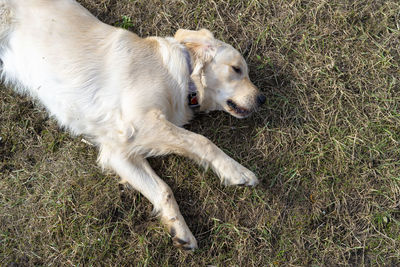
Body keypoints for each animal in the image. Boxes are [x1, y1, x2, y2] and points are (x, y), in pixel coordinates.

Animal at [0, 0, 266, 251]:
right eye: (236, 69)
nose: (262, 99)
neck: (183, 77)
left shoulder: (118, 152)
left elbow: (162, 189)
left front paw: (179, 229)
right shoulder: (137, 123)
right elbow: (202, 142)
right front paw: (237, 171)